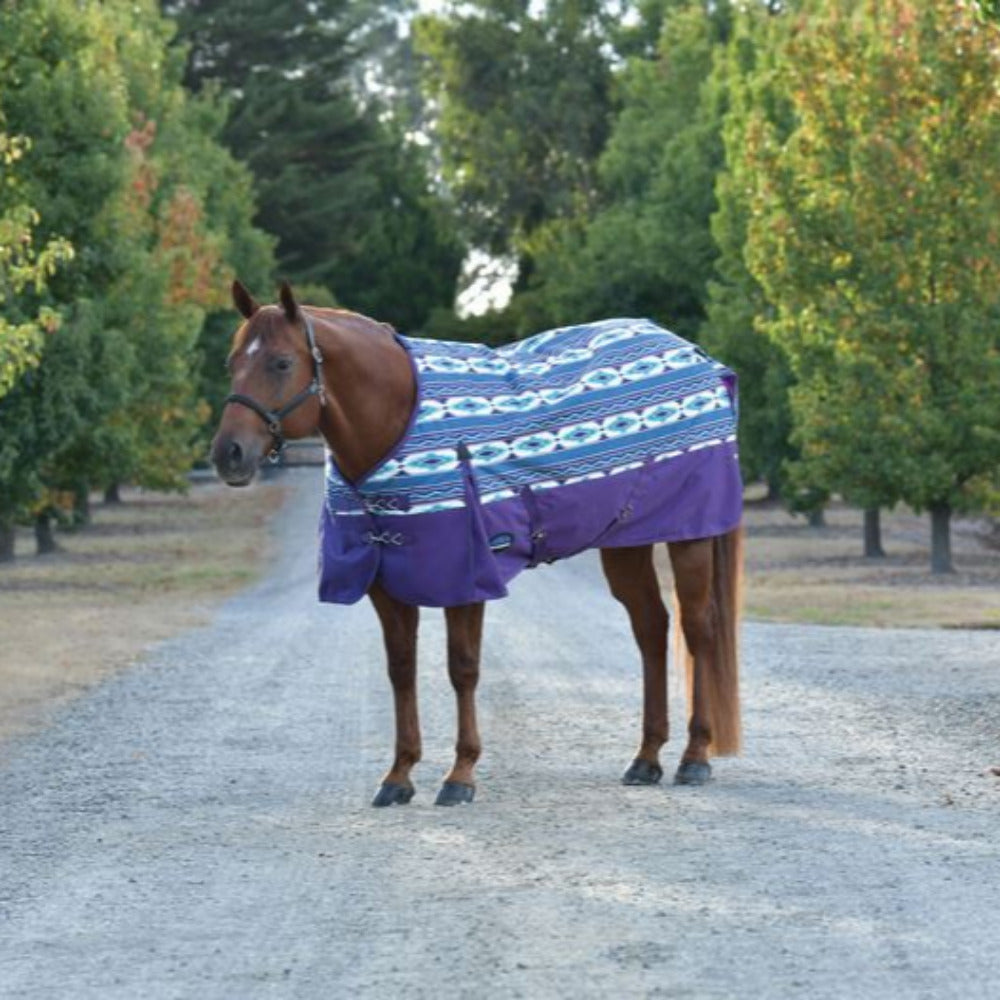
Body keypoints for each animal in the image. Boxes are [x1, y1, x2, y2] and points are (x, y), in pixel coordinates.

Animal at [211, 280, 743, 807]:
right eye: (232, 362)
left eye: (281, 363)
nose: (228, 454)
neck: (397, 420)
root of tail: (698, 356)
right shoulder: (385, 581)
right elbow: (401, 669)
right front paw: (399, 776)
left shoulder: (466, 579)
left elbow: (462, 669)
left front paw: (460, 775)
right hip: (625, 544)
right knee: (651, 629)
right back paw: (646, 759)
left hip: (690, 538)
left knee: (698, 630)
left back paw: (694, 757)